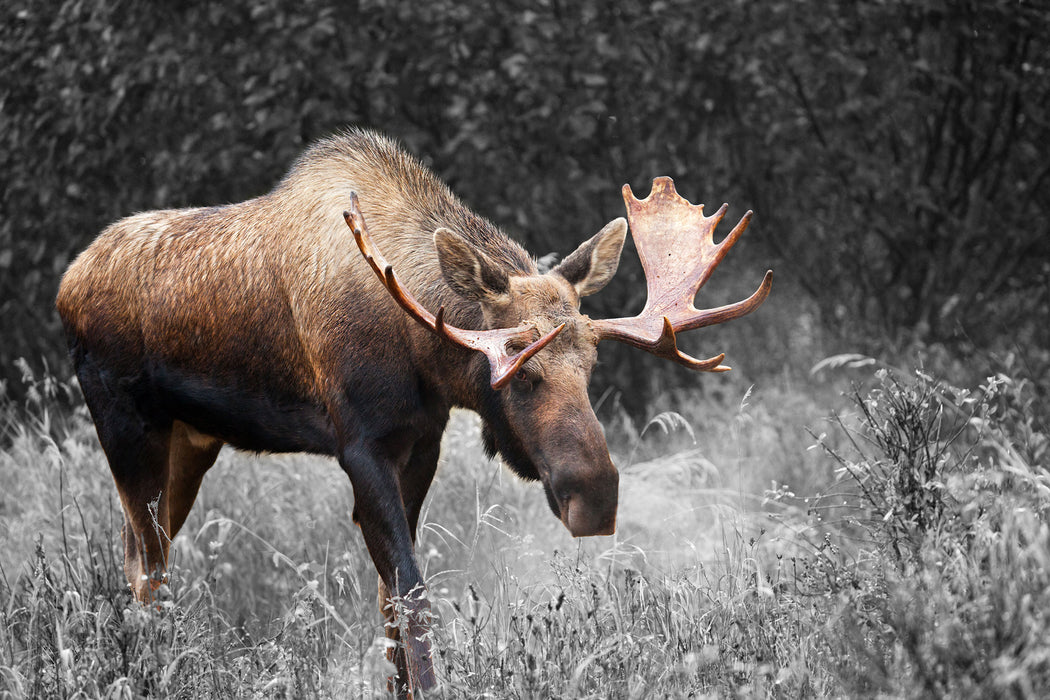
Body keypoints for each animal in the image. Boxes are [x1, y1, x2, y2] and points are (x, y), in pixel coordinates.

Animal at [55, 130, 772, 696]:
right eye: (519, 369)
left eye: (591, 364)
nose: (595, 495)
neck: (421, 351)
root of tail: (66, 284)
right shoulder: (359, 446)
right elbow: (412, 589)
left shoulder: (421, 441)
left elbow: (388, 600)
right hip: (126, 426)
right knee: (146, 567)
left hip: (191, 442)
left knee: (143, 556)